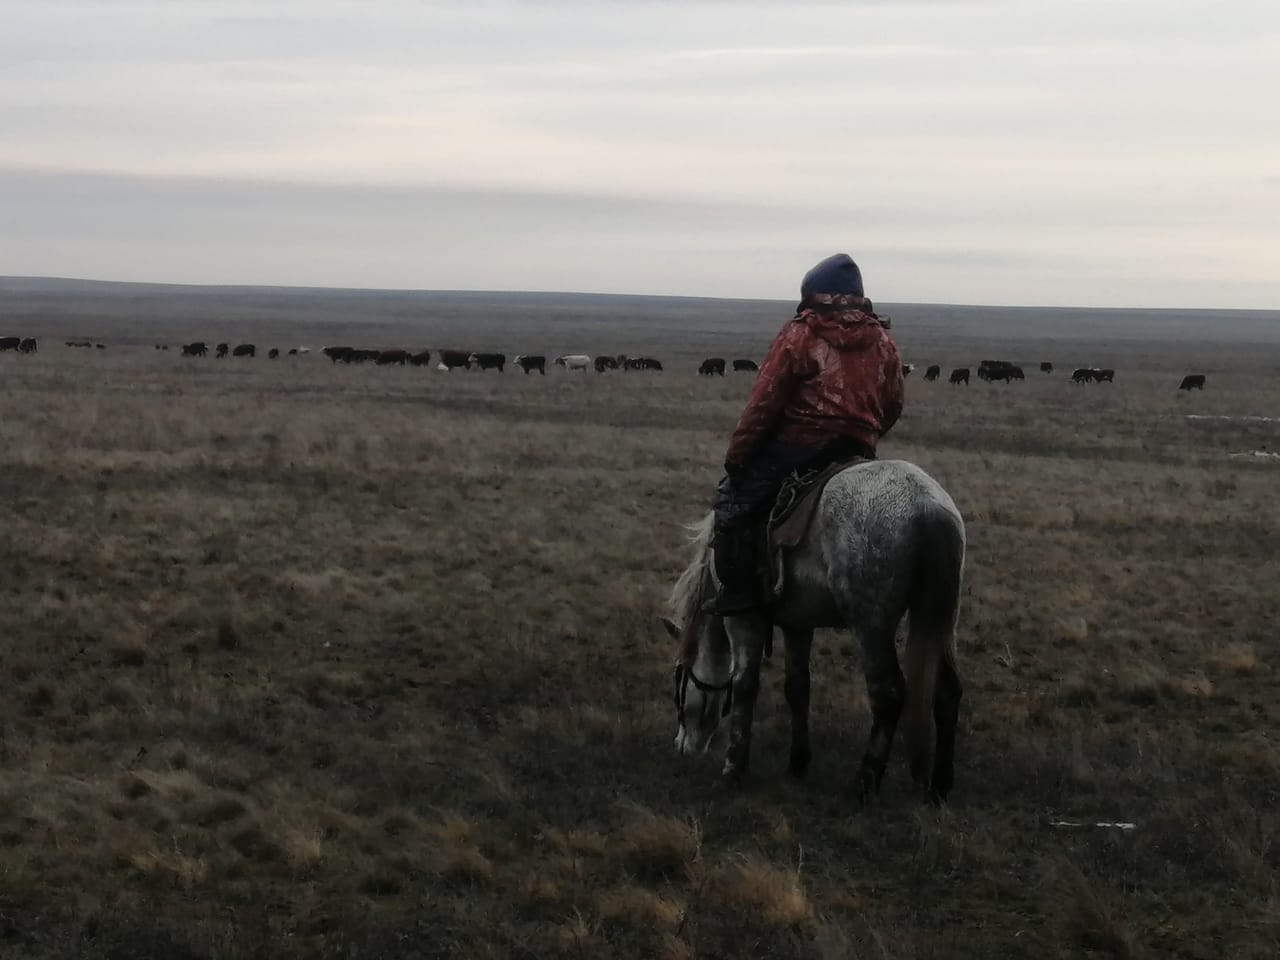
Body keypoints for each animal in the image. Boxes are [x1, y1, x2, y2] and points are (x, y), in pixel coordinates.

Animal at [665, 458, 962, 803]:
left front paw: (733, 769)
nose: (682, 746)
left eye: (679, 685)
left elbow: (744, 684)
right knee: (947, 692)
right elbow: (797, 689)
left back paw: (863, 785)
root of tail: (927, 506)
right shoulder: (798, 625)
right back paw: (939, 788)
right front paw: (796, 765)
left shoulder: (742, 619)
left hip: (870, 625)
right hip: (939, 622)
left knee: (887, 694)